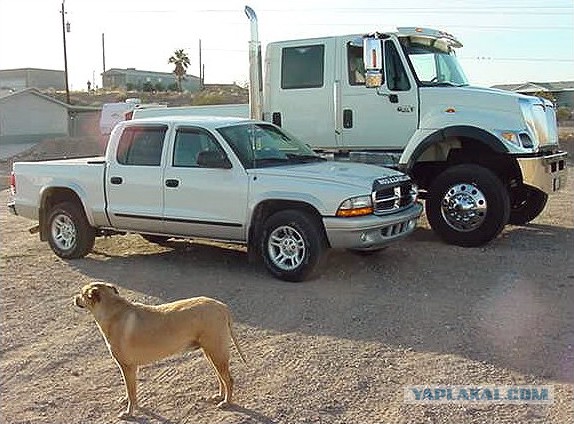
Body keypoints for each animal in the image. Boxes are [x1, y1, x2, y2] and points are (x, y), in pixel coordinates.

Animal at [75, 284, 246, 420]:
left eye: (82, 293)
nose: (75, 298)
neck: (113, 310)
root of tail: (222, 306)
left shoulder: (127, 367)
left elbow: (131, 392)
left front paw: (129, 413)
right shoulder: (131, 369)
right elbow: (131, 391)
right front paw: (129, 402)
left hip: (216, 353)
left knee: (229, 380)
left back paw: (226, 402)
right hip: (211, 353)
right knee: (221, 378)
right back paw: (219, 396)